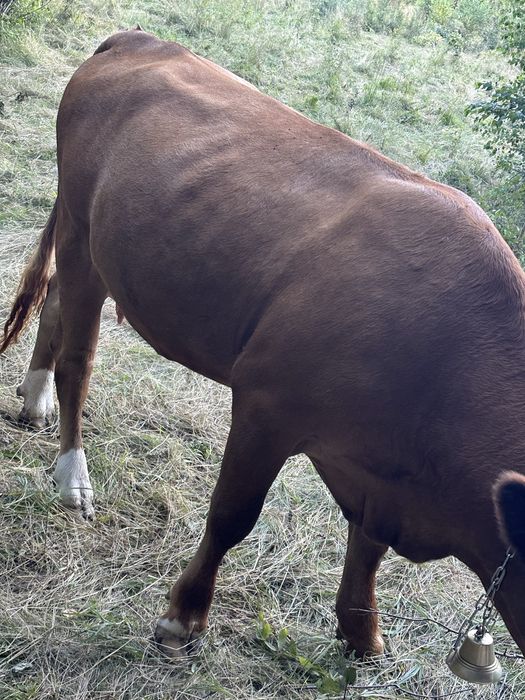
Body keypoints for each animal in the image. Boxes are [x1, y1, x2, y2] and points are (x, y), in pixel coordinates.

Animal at [2, 28, 525, 660]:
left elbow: (368, 545)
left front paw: (362, 632)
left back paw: (33, 400)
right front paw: (183, 617)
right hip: (82, 228)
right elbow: (233, 515)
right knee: (78, 359)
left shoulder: (376, 469)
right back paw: (72, 478)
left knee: (54, 297)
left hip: (94, 244)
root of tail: (140, 38)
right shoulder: (266, 404)